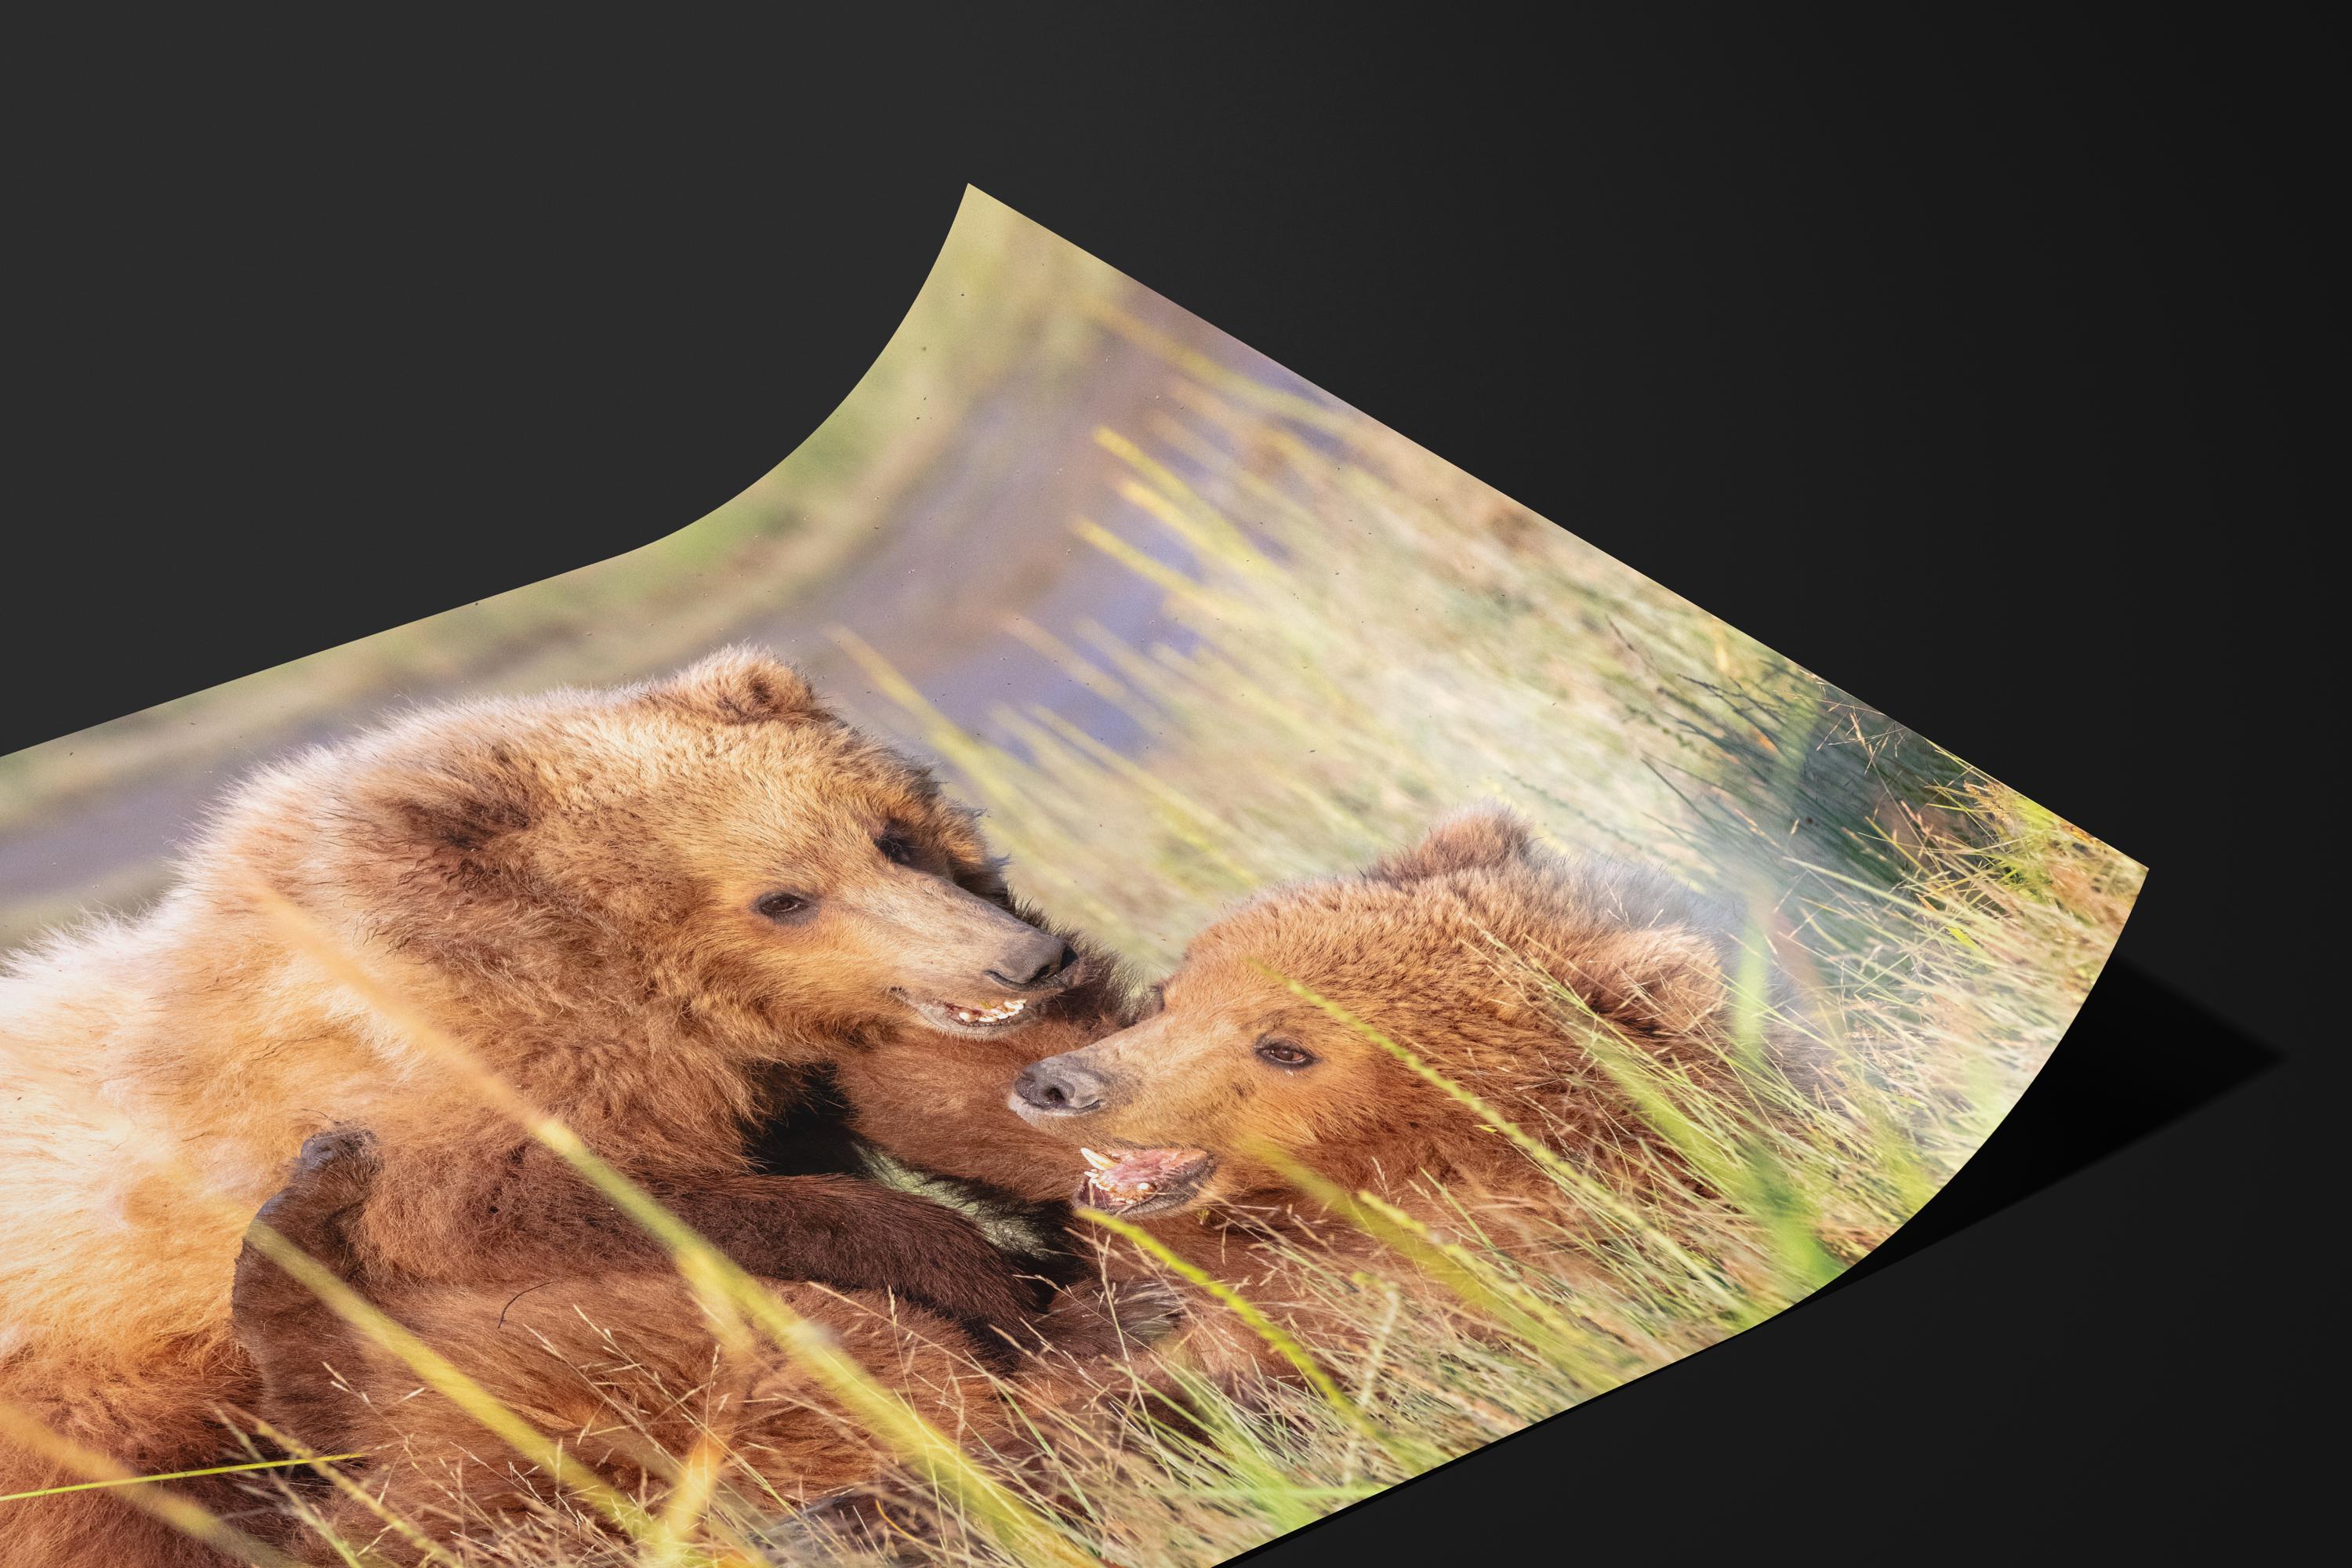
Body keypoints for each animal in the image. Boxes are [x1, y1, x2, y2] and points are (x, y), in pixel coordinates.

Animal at [0, 648, 1114, 1567]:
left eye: (893, 836)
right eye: (785, 896)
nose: (1023, 957)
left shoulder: (780, 1047)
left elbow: (939, 1091)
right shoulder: (440, 1114)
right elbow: (595, 1224)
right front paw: (973, 1271)